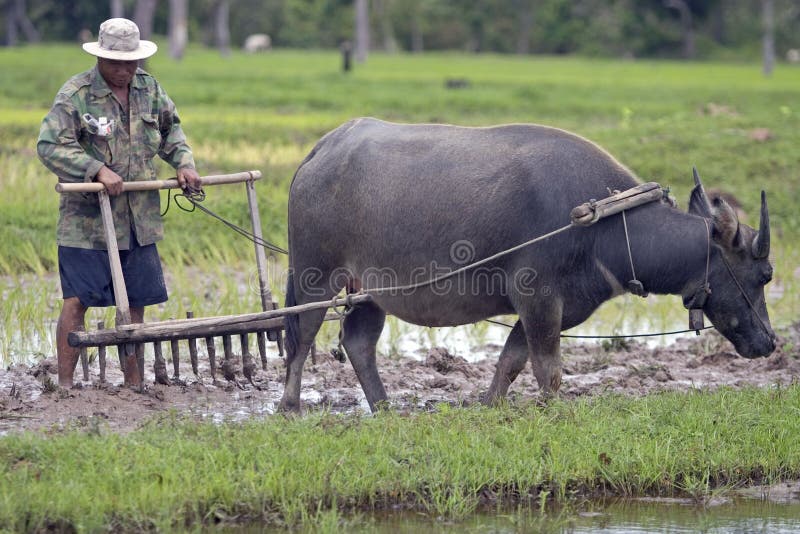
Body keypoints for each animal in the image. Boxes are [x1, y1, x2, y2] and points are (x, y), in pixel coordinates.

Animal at [276, 118, 776, 414]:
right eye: (764, 274)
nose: (770, 342)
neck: (605, 223)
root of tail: (323, 148)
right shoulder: (539, 298)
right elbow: (547, 368)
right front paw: (554, 410)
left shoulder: (546, 309)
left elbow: (511, 361)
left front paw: (490, 406)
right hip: (315, 276)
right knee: (300, 338)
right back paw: (290, 405)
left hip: (369, 289)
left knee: (358, 341)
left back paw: (384, 407)